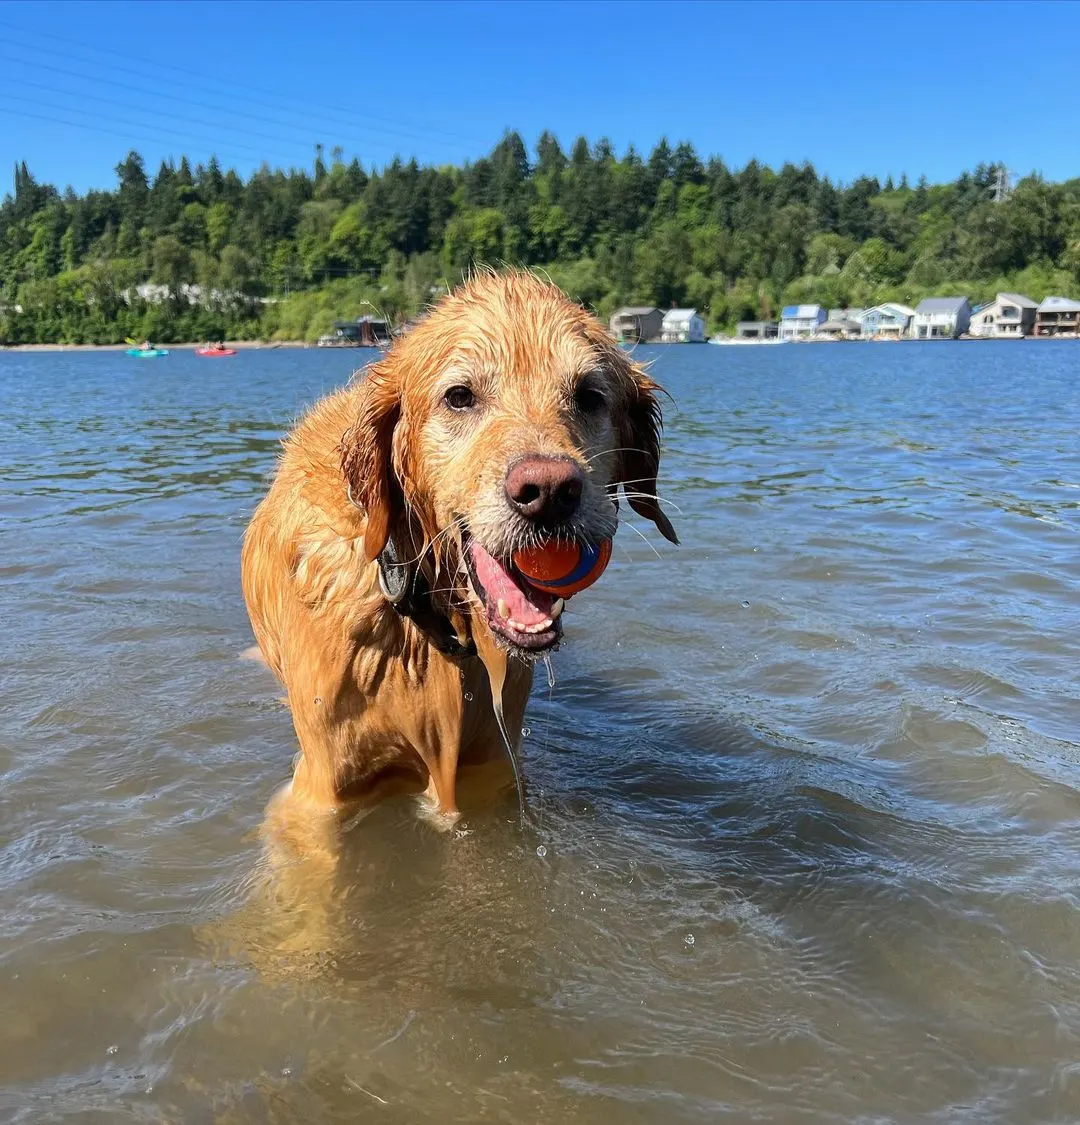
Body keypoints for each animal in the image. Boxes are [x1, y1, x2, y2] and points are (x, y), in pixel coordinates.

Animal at [243, 270, 675, 837]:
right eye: (460, 396)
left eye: (589, 395)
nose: (549, 492)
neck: (418, 607)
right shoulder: (321, 793)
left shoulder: (490, 768)